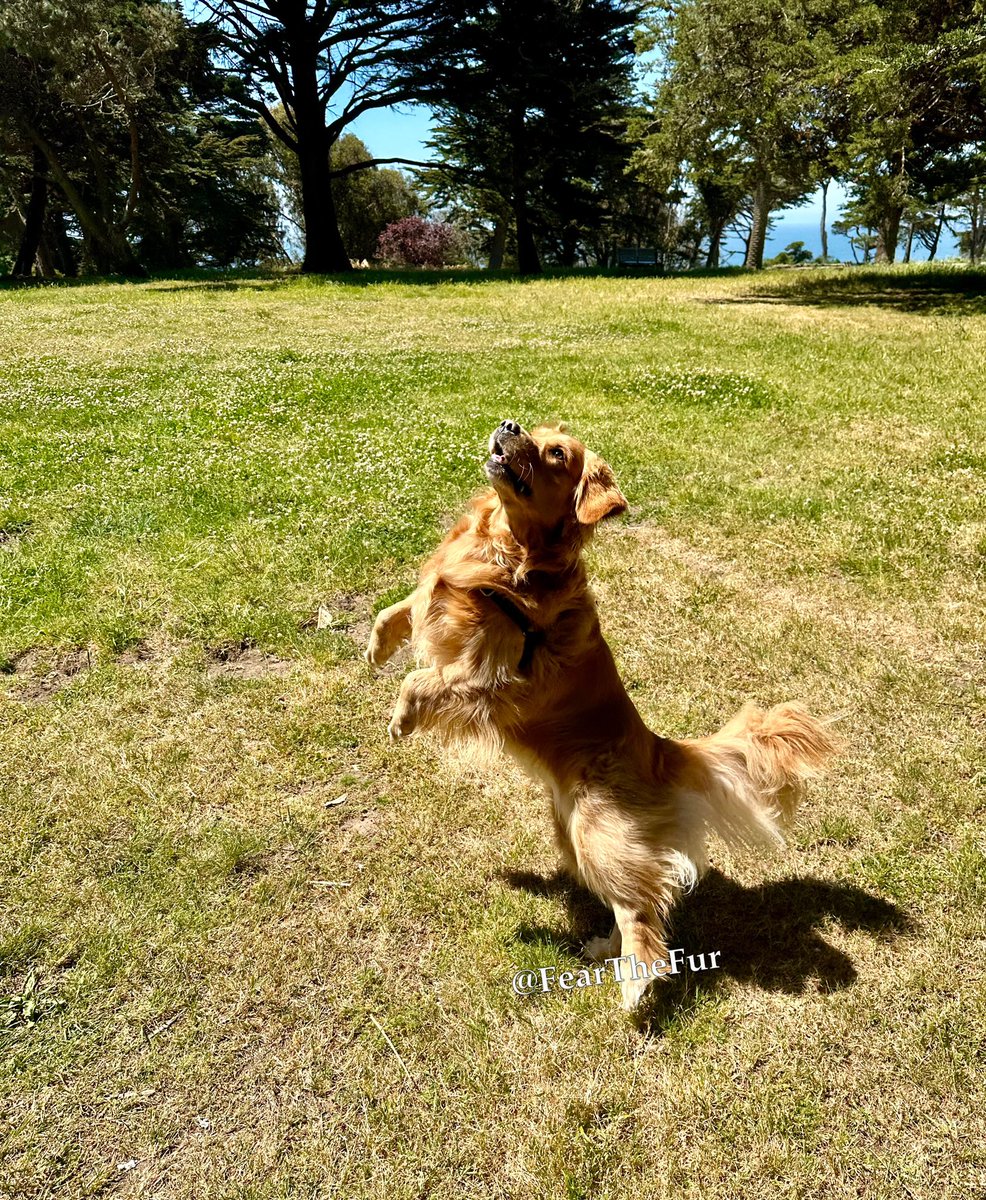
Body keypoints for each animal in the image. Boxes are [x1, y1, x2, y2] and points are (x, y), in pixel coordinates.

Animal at [367, 420, 839, 1003]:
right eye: (531, 428)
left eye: (556, 453)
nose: (507, 425)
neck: (505, 551)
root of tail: (660, 750)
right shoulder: (442, 598)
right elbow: (399, 608)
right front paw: (377, 647)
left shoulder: (491, 677)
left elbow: (419, 679)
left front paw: (401, 719)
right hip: (574, 834)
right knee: (634, 896)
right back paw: (603, 950)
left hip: (598, 831)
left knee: (642, 909)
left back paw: (635, 982)